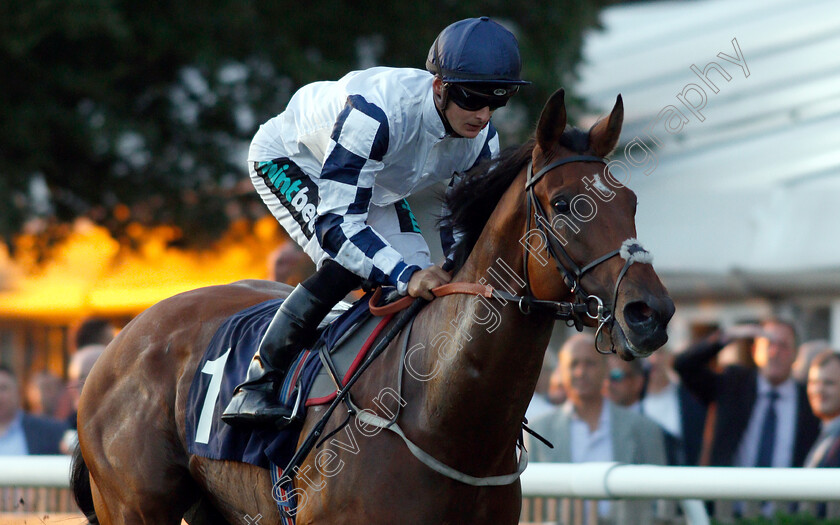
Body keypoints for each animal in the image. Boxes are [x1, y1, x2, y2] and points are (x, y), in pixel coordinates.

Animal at [72, 88, 676, 520]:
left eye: (630, 201)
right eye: (564, 203)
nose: (650, 314)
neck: (447, 421)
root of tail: (124, 338)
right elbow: (341, 228)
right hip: (134, 504)